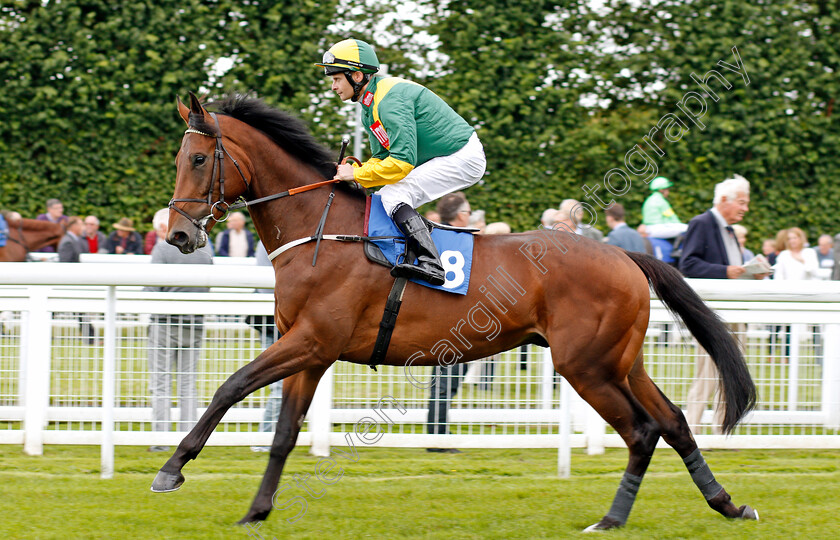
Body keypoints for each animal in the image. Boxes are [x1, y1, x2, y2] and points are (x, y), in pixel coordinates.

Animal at [153, 94, 760, 532]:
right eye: (180, 158)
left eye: (200, 158)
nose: (178, 235)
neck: (321, 231)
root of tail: (625, 255)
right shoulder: (312, 352)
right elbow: (282, 433)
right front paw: (257, 510)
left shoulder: (312, 341)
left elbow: (230, 386)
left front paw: (171, 469)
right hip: (621, 361)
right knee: (674, 422)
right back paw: (728, 504)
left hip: (587, 366)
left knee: (641, 430)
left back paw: (611, 519)